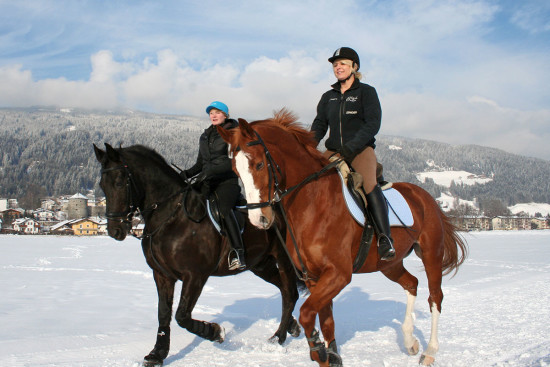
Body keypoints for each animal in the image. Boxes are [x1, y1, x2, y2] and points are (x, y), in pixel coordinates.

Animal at [95, 144, 302, 367]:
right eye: (102, 184)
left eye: (119, 182)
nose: (115, 230)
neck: (171, 216)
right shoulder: (162, 275)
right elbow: (163, 313)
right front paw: (157, 354)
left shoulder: (195, 276)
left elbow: (182, 316)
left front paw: (215, 332)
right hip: (260, 264)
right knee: (284, 289)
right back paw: (292, 327)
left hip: (284, 259)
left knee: (290, 292)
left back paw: (278, 337)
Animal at [218, 110, 468, 366]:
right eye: (236, 171)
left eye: (259, 164)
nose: (259, 219)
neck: (312, 203)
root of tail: (425, 197)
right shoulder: (314, 277)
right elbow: (325, 319)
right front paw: (329, 353)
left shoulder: (338, 274)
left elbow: (307, 313)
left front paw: (317, 347)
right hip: (389, 264)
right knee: (412, 284)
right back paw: (410, 341)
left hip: (431, 254)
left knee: (435, 297)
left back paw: (430, 351)